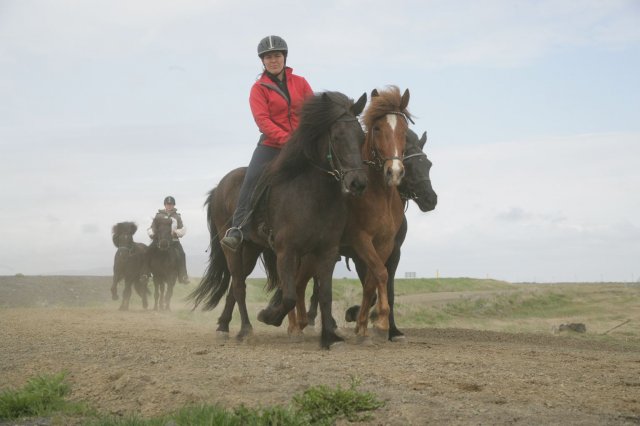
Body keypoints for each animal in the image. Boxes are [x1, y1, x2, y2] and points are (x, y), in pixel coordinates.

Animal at [189, 90, 370, 350]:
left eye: (361, 136)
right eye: (336, 137)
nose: (358, 183)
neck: (313, 195)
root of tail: (220, 186)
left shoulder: (326, 252)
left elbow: (324, 295)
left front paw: (330, 337)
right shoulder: (287, 251)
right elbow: (290, 296)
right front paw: (269, 316)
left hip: (251, 248)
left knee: (235, 286)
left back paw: (224, 326)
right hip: (232, 247)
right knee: (239, 285)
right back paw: (245, 329)